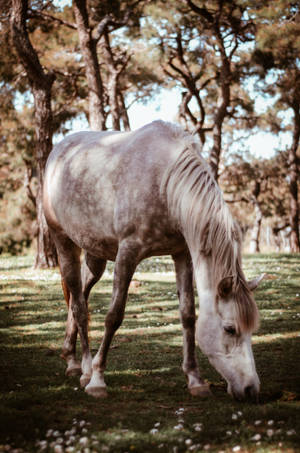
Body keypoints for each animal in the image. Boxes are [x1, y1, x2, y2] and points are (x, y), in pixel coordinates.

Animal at [42, 119, 262, 400]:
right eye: (230, 329)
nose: (251, 389)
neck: (166, 184)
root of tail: (58, 151)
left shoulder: (182, 255)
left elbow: (188, 315)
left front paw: (195, 379)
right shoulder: (128, 253)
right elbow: (114, 316)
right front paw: (98, 380)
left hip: (95, 256)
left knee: (79, 293)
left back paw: (71, 359)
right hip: (64, 242)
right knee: (79, 306)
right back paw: (85, 369)